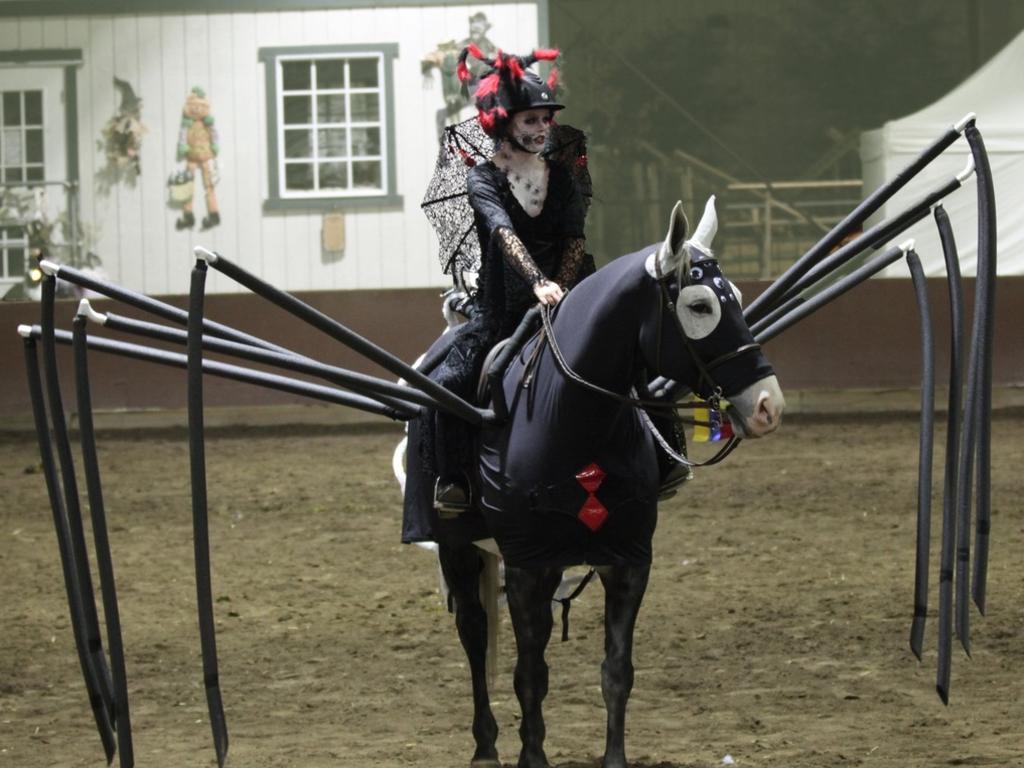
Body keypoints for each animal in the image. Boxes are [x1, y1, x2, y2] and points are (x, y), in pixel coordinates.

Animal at [401, 199, 782, 768]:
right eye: (699, 305)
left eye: (735, 296)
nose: (767, 405)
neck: (570, 417)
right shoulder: (529, 565)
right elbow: (530, 675)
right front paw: (531, 758)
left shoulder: (627, 561)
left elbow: (616, 673)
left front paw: (613, 757)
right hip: (458, 546)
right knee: (473, 633)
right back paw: (485, 747)